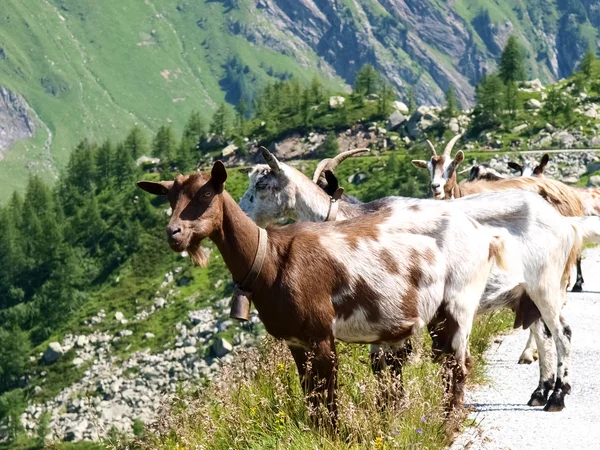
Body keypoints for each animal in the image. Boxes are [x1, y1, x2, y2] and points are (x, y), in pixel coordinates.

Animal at [137, 162, 506, 422]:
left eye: (206, 195)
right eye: (170, 199)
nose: (175, 233)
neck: (270, 260)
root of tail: (484, 237)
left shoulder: (321, 336)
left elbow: (329, 402)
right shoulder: (296, 342)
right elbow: (312, 402)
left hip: (458, 303)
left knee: (458, 364)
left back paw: (448, 423)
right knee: (447, 362)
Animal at [241, 149, 600, 412]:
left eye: (262, 185)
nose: (243, 213)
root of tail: (565, 223)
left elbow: (389, 362)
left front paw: (392, 408)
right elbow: (384, 363)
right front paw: (389, 407)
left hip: (547, 284)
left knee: (563, 333)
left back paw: (557, 398)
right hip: (528, 292)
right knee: (543, 334)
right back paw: (540, 392)